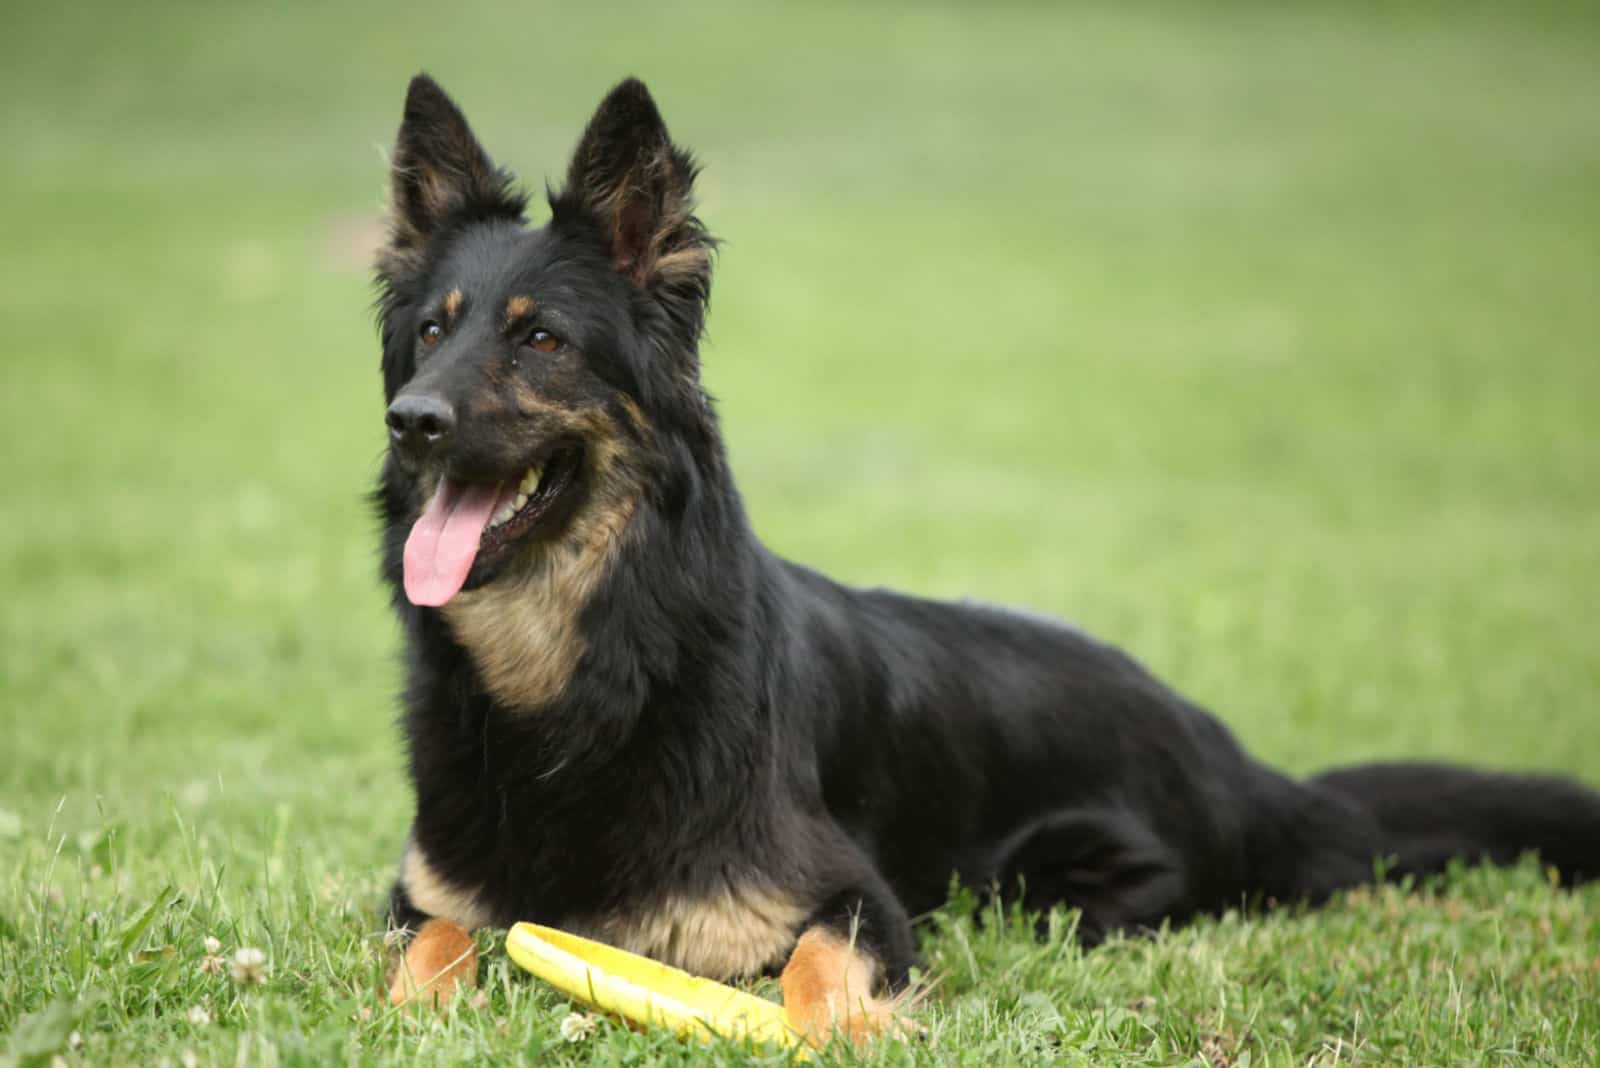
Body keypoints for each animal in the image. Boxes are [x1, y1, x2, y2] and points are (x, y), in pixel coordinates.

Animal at [371, 75, 1600, 1042]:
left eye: (540, 339)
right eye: (432, 331)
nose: (411, 420)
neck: (589, 671)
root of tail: (1244, 764)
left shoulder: (854, 897)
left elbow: (818, 964)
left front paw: (847, 1028)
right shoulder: (422, 887)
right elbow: (432, 943)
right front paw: (415, 1008)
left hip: (1058, 891)